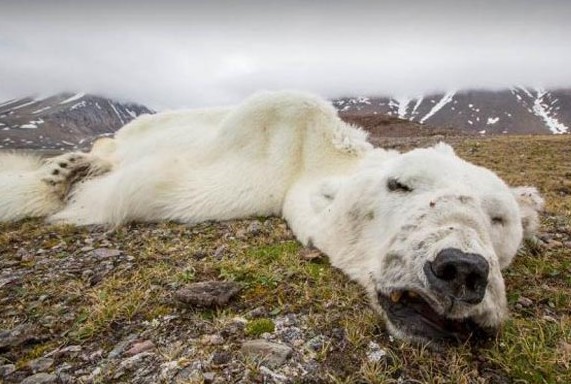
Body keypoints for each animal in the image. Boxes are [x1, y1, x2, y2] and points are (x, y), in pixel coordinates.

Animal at [0, 91, 544, 344]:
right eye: (400, 184)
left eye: (499, 218)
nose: (461, 269)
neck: (311, 157)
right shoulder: (261, 143)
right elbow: (144, 186)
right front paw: (61, 183)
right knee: (111, 144)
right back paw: (72, 164)